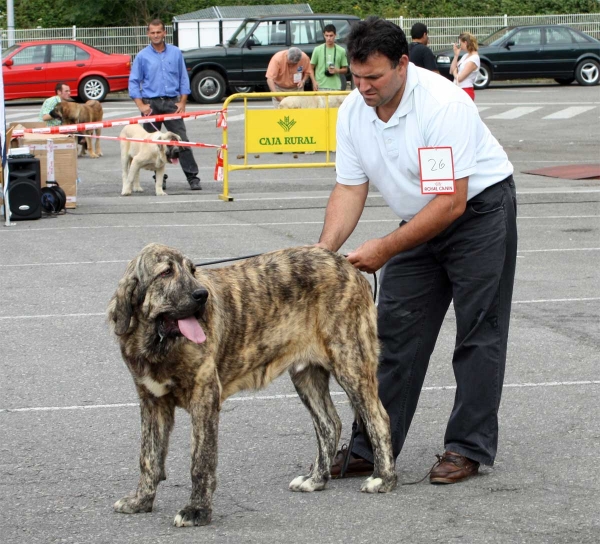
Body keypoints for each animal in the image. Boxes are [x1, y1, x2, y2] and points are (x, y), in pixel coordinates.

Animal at [108, 243, 398, 528]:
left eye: (191, 270)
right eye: (166, 272)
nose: (202, 295)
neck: (157, 344)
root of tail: (345, 263)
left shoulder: (205, 398)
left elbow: (201, 461)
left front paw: (197, 511)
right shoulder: (152, 403)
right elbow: (149, 458)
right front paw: (141, 501)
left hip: (350, 361)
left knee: (378, 418)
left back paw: (383, 479)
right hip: (307, 374)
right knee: (330, 423)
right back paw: (316, 479)